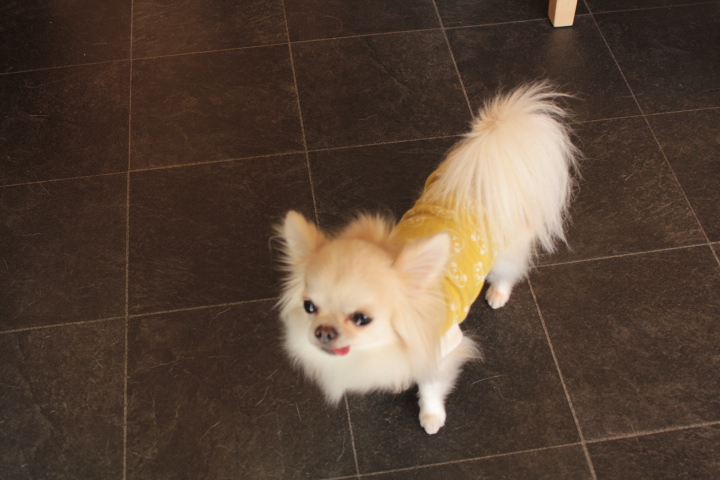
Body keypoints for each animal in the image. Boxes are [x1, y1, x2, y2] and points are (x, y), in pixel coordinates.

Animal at [275, 83, 580, 434]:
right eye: (309, 307)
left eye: (362, 319)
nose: (324, 331)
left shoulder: (441, 348)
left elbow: (431, 386)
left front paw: (431, 416)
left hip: (506, 251)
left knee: (508, 271)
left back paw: (498, 293)